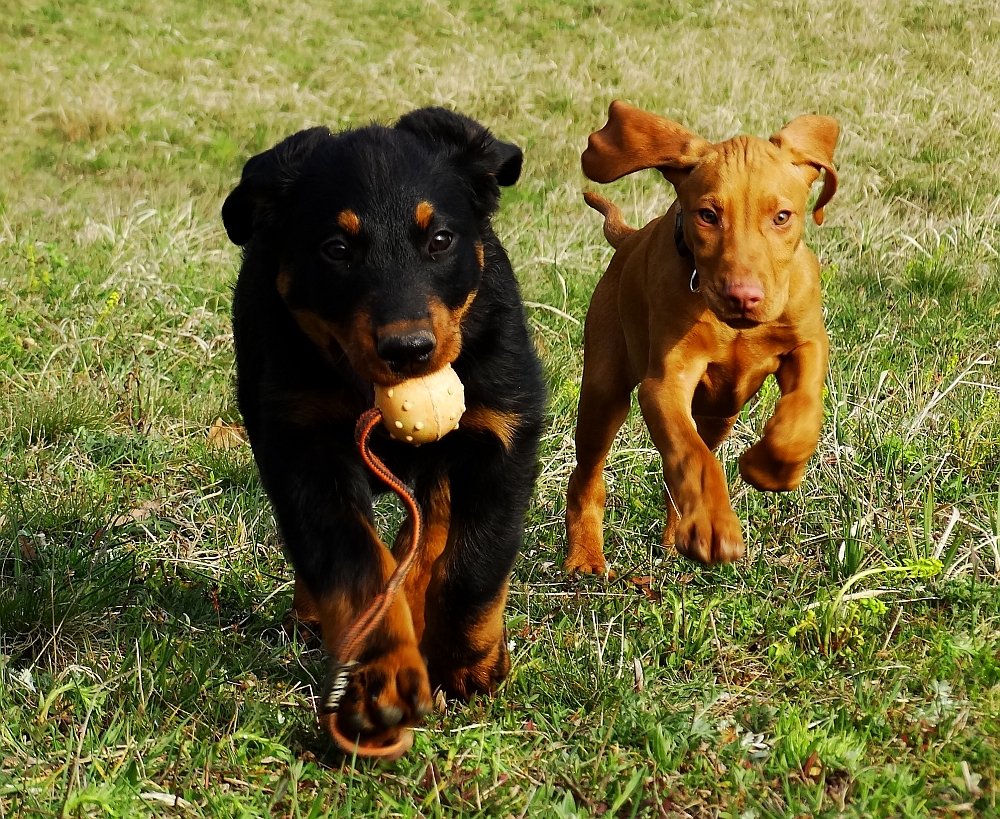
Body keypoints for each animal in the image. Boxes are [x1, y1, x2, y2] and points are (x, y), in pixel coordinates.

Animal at [222, 110, 544, 756]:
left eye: (440, 240)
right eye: (336, 250)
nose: (408, 350)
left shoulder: (504, 431)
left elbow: (474, 564)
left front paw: (469, 663)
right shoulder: (301, 447)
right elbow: (352, 563)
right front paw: (383, 677)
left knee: (434, 522)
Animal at [568, 101, 840, 576]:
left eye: (782, 217)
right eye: (708, 215)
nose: (743, 296)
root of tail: (629, 239)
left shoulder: (808, 343)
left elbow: (803, 409)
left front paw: (771, 468)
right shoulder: (664, 384)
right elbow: (693, 457)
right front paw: (714, 525)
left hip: (719, 414)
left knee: (685, 463)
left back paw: (677, 533)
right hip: (604, 391)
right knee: (589, 474)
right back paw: (585, 555)